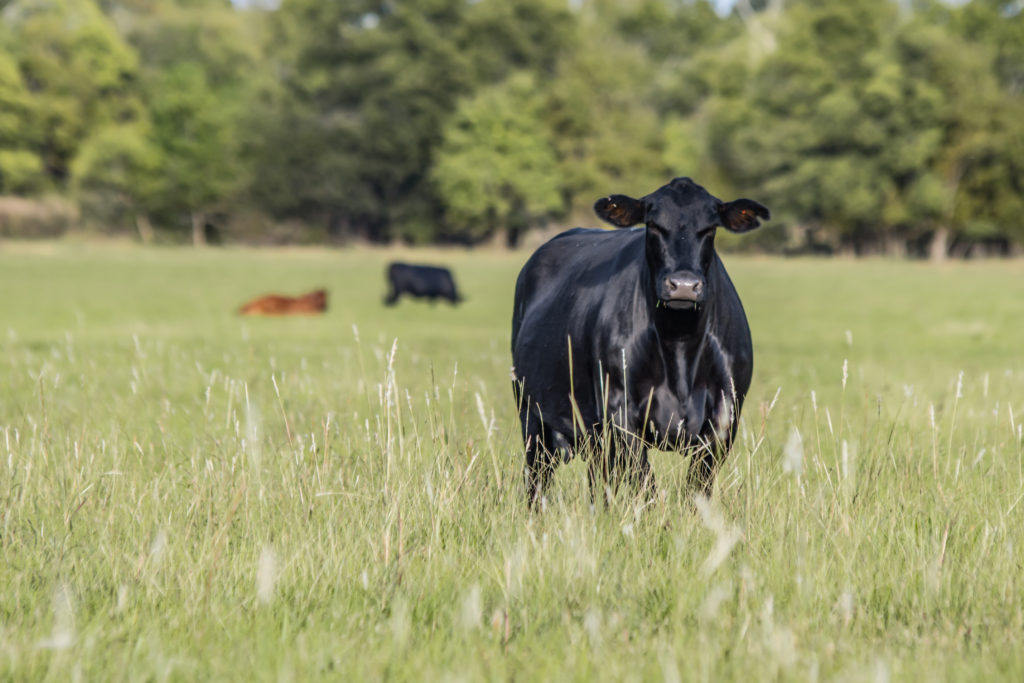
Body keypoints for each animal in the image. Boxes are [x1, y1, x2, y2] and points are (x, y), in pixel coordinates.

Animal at [512, 176, 770, 507]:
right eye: (653, 224)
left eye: (710, 228)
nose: (683, 285)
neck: (680, 342)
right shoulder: (620, 411)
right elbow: (645, 483)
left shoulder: (727, 414)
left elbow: (697, 487)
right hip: (532, 416)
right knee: (538, 480)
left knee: (599, 479)